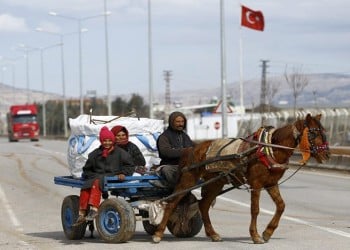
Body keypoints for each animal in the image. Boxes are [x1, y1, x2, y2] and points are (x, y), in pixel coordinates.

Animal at [152, 113, 330, 244]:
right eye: (314, 132)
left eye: (324, 131)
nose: (327, 154)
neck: (268, 148)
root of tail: (190, 149)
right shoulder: (256, 183)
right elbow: (255, 209)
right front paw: (256, 236)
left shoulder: (271, 183)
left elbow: (281, 206)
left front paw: (267, 232)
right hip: (188, 179)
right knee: (172, 203)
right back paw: (158, 234)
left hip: (216, 182)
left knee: (203, 205)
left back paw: (213, 234)